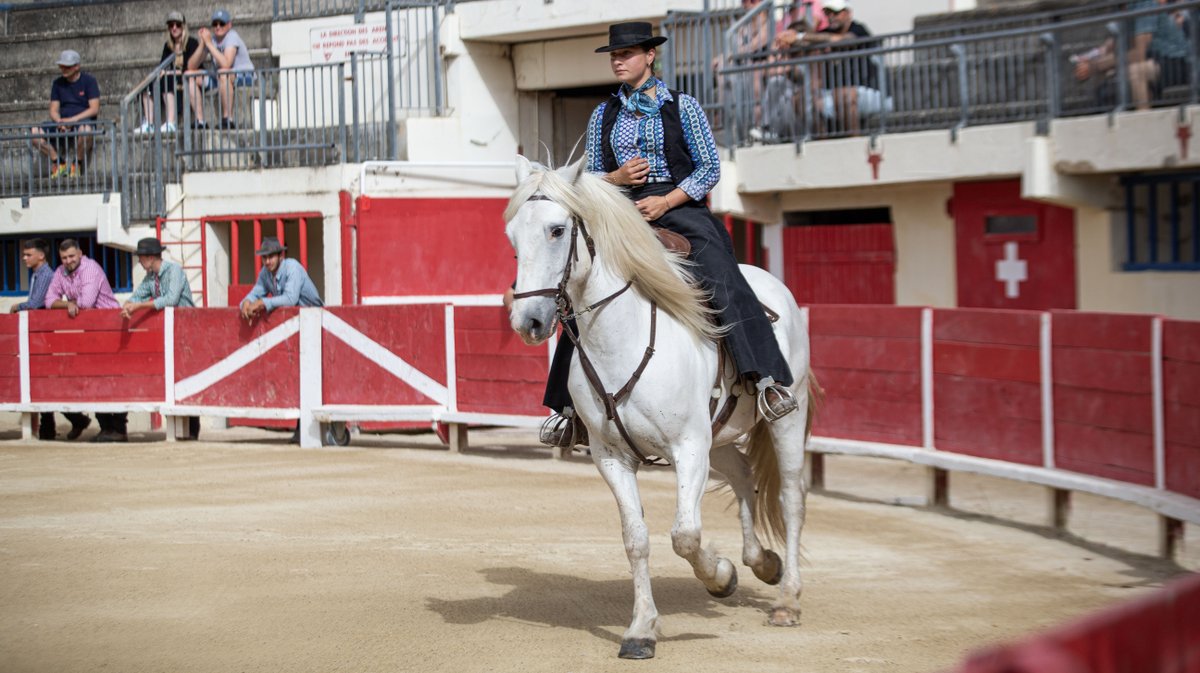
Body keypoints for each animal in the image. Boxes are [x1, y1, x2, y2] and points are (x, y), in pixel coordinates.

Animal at [501, 155, 811, 657]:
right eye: (512, 238)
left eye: (557, 230)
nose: (527, 321)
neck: (622, 338)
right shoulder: (613, 456)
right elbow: (637, 539)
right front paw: (642, 628)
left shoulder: (688, 446)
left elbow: (684, 535)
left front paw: (719, 575)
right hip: (718, 435)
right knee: (743, 473)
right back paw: (762, 562)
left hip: (786, 417)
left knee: (791, 498)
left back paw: (787, 601)